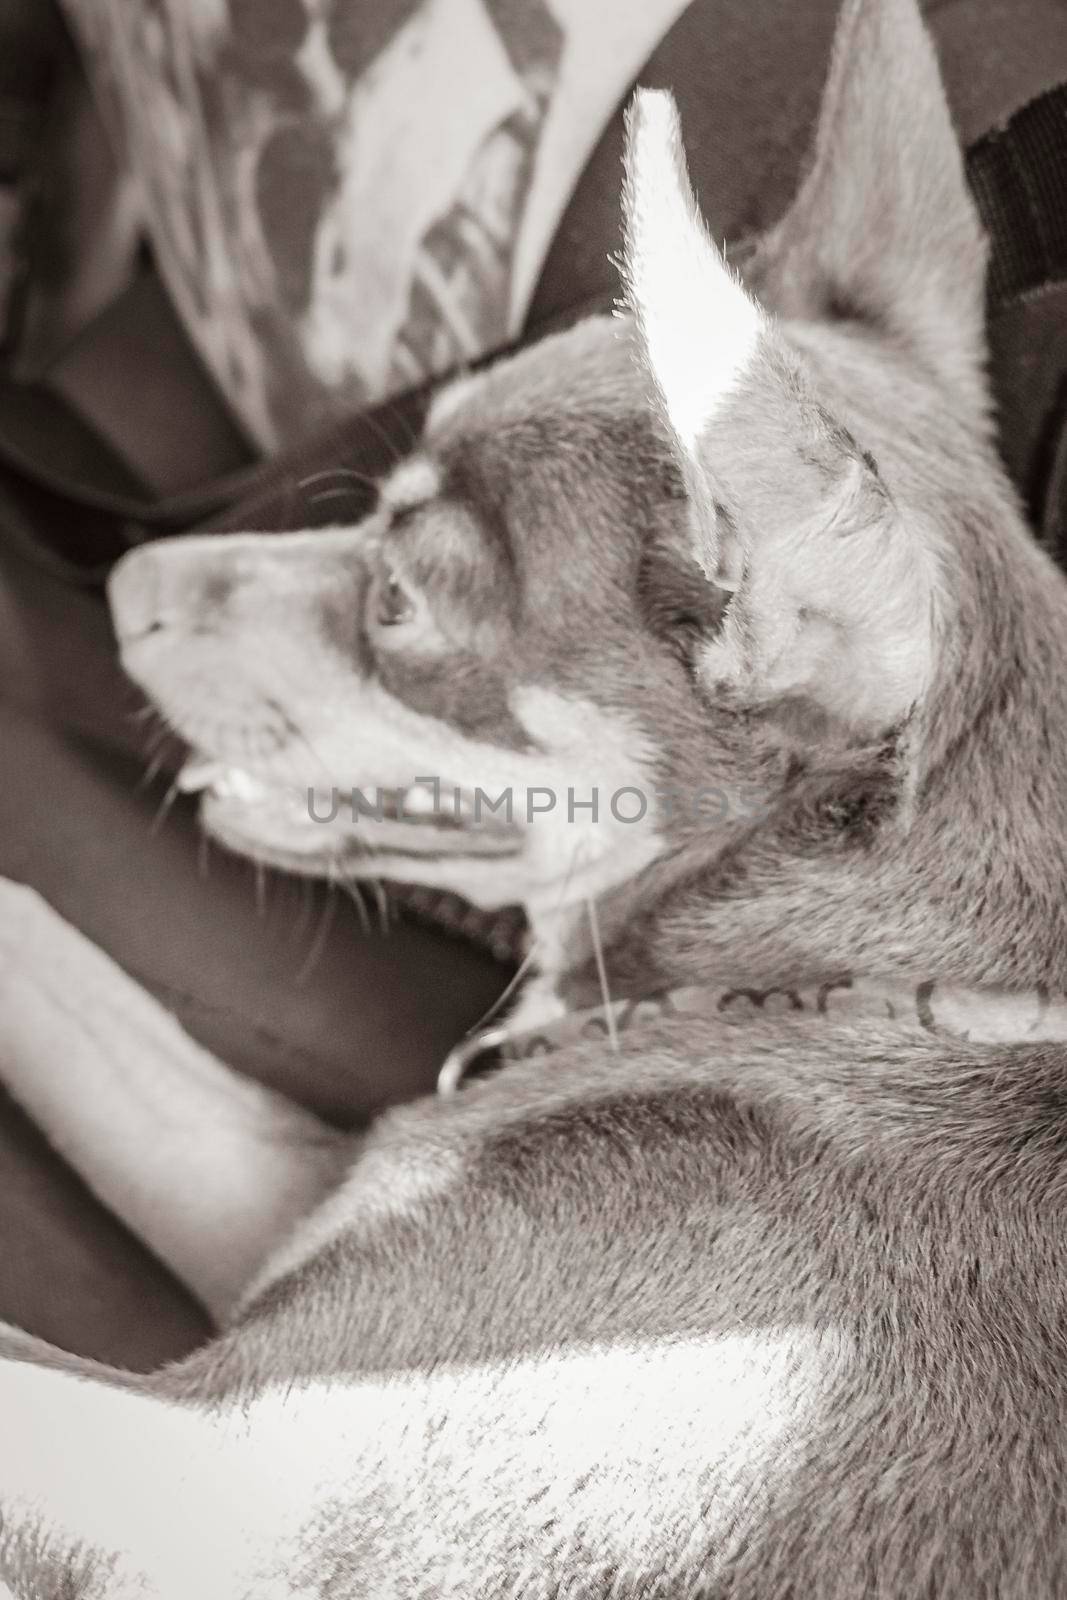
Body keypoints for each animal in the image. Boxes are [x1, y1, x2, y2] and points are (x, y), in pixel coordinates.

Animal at [2, 0, 1067, 1593]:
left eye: (393, 596)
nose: (127, 585)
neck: (821, 981)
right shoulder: (284, 1201)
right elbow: (43, 948)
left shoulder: (208, 1491)